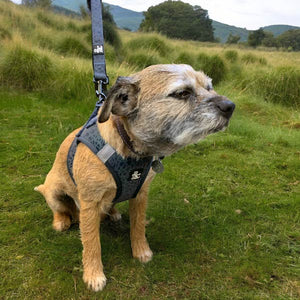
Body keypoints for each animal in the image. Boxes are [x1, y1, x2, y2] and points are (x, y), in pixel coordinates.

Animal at [34, 63, 234, 290]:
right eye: (182, 93)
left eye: (209, 87)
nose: (230, 106)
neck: (129, 149)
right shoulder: (90, 203)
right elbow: (92, 242)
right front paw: (94, 275)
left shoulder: (140, 195)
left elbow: (137, 226)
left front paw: (141, 251)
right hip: (55, 193)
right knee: (60, 209)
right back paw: (61, 221)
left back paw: (112, 213)